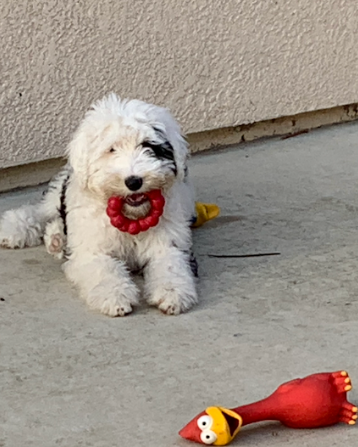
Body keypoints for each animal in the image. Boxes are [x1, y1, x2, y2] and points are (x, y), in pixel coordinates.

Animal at [0, 93, 199, 318]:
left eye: (149, 146)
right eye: (111, 149)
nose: (134, 181)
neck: (131, 215)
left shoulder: (169, 242)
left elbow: (171, 264)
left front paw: (173, 293)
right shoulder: (92, 248)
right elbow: (104, 268)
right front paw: (115, 297)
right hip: (61, 193)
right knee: (42, 211)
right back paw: (29, 232)